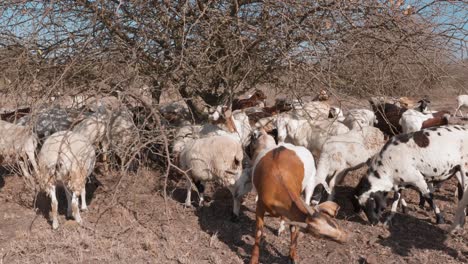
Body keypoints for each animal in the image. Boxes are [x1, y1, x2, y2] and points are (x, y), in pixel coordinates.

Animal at [249, 131, 348, 262]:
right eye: (323, 235)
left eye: (333, 223)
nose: (346, 237)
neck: (278, 184)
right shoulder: (260, 205)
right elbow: (259, 233)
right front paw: (254, 259)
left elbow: (293, 228)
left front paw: (293, 255)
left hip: (310, 184)